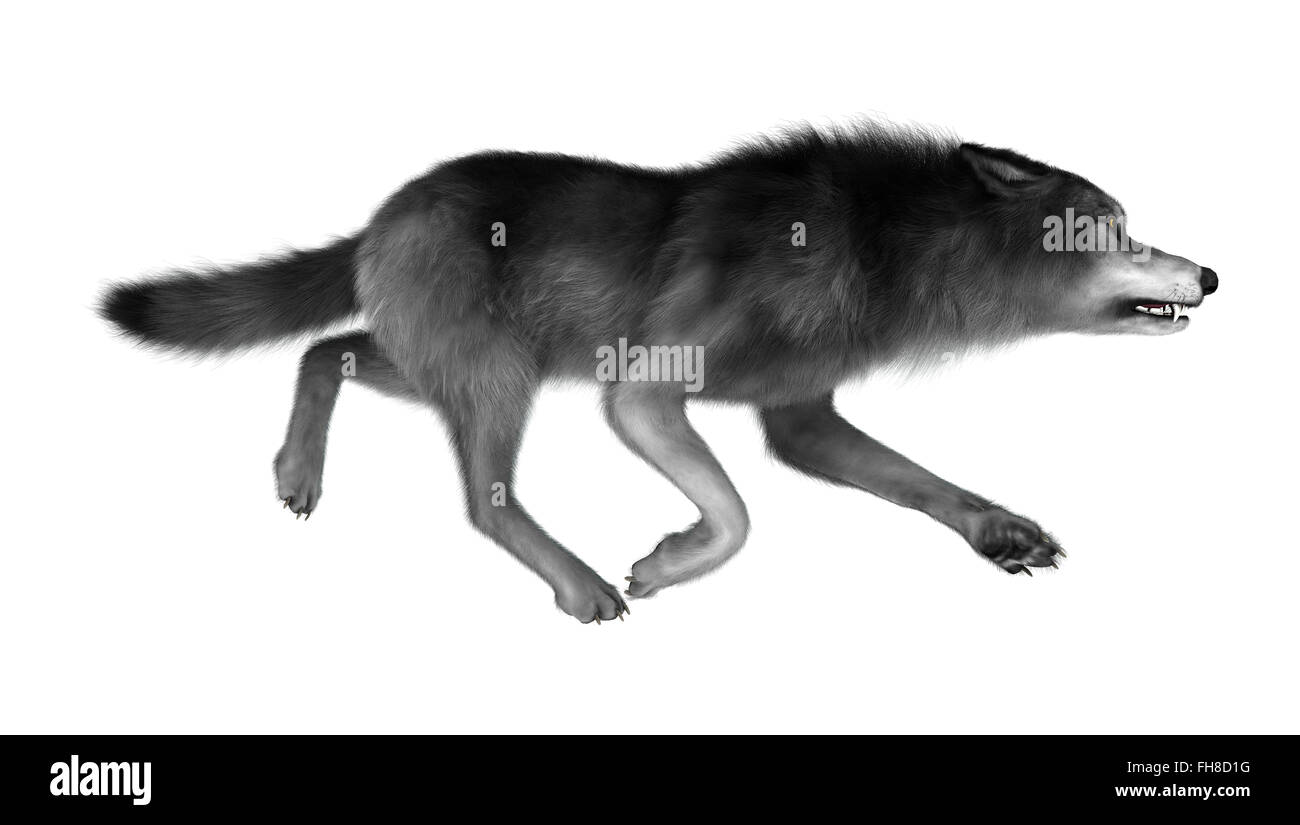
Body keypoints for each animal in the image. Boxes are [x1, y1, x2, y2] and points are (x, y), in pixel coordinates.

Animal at [100, 123, 1218, 624]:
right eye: (1115, 231)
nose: (1209, 273)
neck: (885, 248)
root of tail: (384, 210)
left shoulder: (802, 421)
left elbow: (925, 483)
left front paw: (1000, 531)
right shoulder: (642, 389)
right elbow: (738, 517)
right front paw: (667, 562)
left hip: (448, 367)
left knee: (319, 348)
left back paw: (297, 470)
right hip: (497, 382)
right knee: (481, 502)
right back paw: (577, 583)